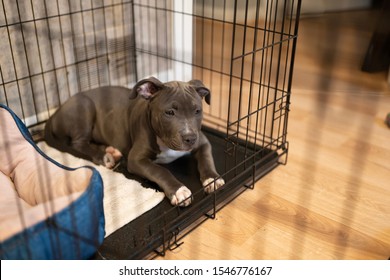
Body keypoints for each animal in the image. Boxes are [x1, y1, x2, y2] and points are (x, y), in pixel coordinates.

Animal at [44, 76, 224, 206]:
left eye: (197, 111)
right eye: (169, 112)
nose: (190, 138)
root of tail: (56, 112)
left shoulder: (203, 142)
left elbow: (206, 159)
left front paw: (212, 179)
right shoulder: (136, 159)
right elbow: (160, 171)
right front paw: (179, 190)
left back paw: (110, 150)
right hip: (84, 106)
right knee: (77, 143)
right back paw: (104, 156)